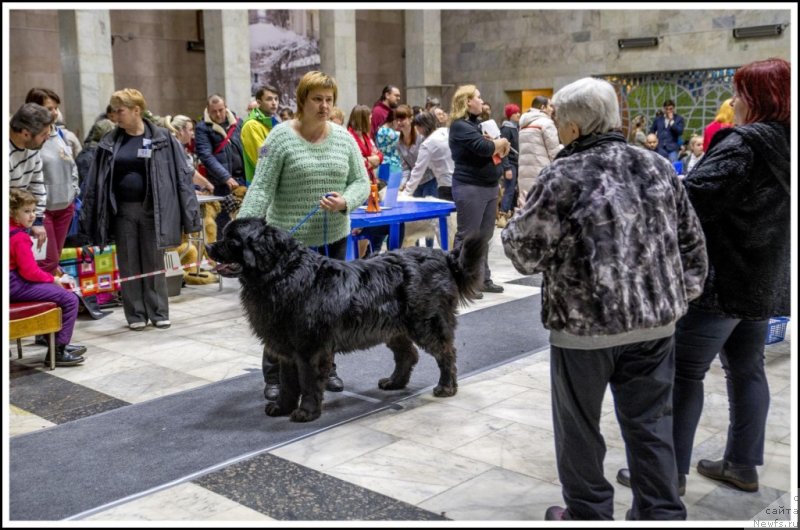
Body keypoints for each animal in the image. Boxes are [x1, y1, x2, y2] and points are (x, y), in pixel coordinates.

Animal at [203, 216, 484, 420]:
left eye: (233, 240)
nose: (208, 246)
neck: (280, 274)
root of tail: (443, 256)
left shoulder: (310, 348)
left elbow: (307, 382)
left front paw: (306, 412)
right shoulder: (287, 349)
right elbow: (288, 383)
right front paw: (282, 407)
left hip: (425, 323)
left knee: (445, 352)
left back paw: (446, 387)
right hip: (393, 327)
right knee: (408, 354)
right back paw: (394, 382)